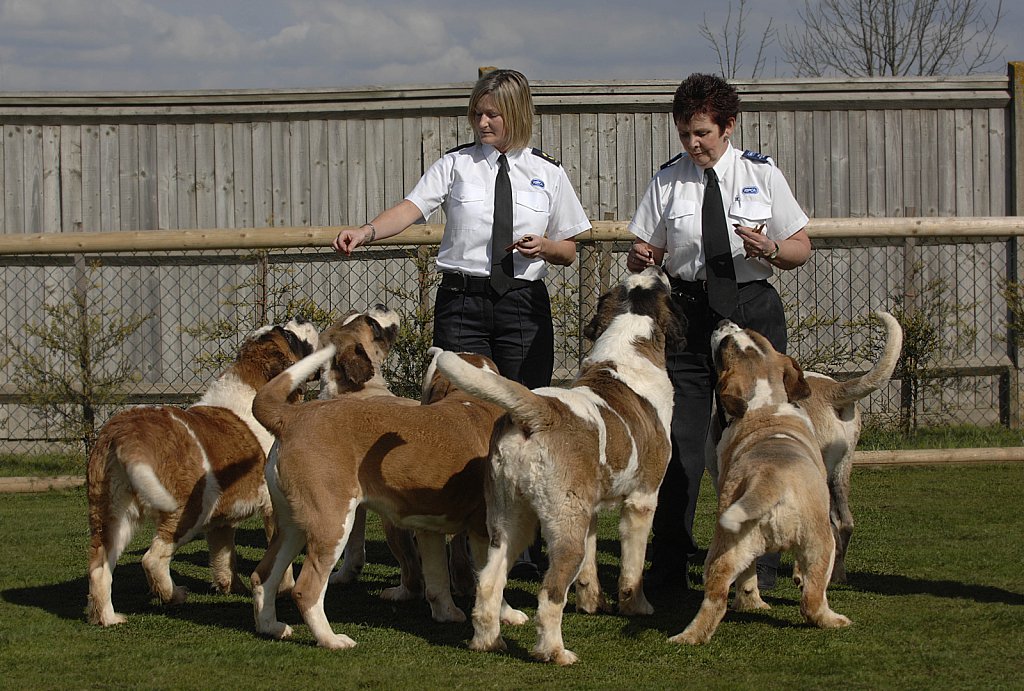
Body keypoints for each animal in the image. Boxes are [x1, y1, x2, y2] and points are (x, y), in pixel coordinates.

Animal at [88, 319, 319, 626]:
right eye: (289, 335)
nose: (302, 320)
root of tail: (126, 430)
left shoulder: (222, 522)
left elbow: (224, 556)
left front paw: (232, 587)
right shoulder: (273, 507)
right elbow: (280, 557)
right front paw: (283, 590)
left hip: (111, 514)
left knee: (99, 565)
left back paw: (108, 617)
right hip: (189, 510)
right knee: (153, 559)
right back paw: (173, 595)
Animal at [246, 348, 520, 651]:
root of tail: (292, 417)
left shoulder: (429, 529)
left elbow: (437, 578)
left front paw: (447, 613)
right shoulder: (485, 530)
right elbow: (493, 580)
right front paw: (508, 614)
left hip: (292, 526)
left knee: (262, 577)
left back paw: (271, 627)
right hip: (333, 524)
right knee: (306, 590)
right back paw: (331, 640)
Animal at [440, 268, 688, 667]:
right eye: (663, 286)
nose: (654, 266)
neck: (629, 338)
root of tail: (541, 412)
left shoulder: (589, 510)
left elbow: (590, 563)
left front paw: (591, 602)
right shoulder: (643, 499)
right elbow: (632, 566)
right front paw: (637, 606)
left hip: (513, 521)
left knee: (490, 582)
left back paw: (488, 641)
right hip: (562, 529)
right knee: (550, 592)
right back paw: (554, 652)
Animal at [671, 321, 847, 646]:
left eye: (751, 335)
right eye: (726, 343)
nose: (723, 323)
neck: (764, 403)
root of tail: (771, 479)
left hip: (731, 548)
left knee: (719, 596)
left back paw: (690, 636)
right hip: (822, 542)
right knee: (811, 599)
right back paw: (833, 619)